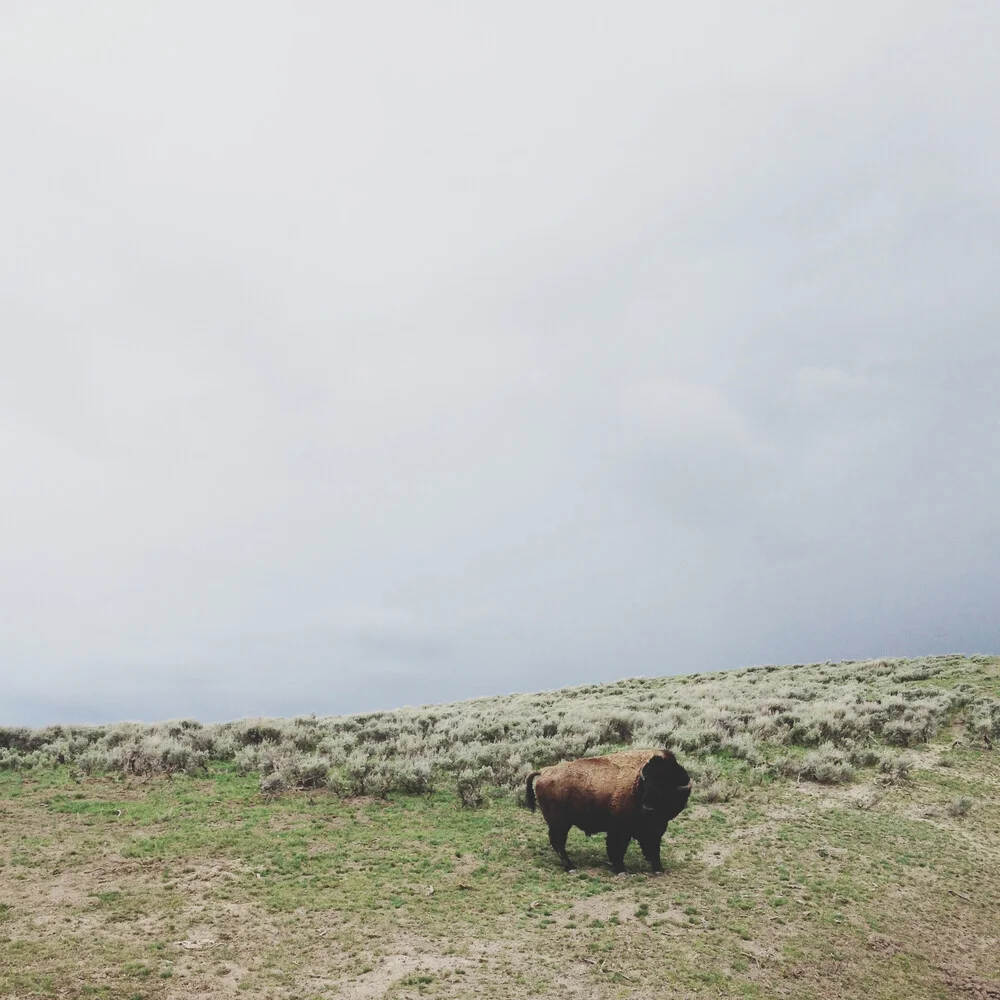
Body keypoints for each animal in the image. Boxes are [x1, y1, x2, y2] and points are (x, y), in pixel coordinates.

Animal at [524, 748, 696, 872]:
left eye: (665, 790)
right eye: (647, 786)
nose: (648, 808)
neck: (637, 784)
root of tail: (544, 771)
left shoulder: (655, 829)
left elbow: (653, 848)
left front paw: (658, 869)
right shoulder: (620, 829)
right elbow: (618, 849)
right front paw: (621, 870)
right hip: (560, 823)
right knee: (559, 842)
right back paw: (571, 867)